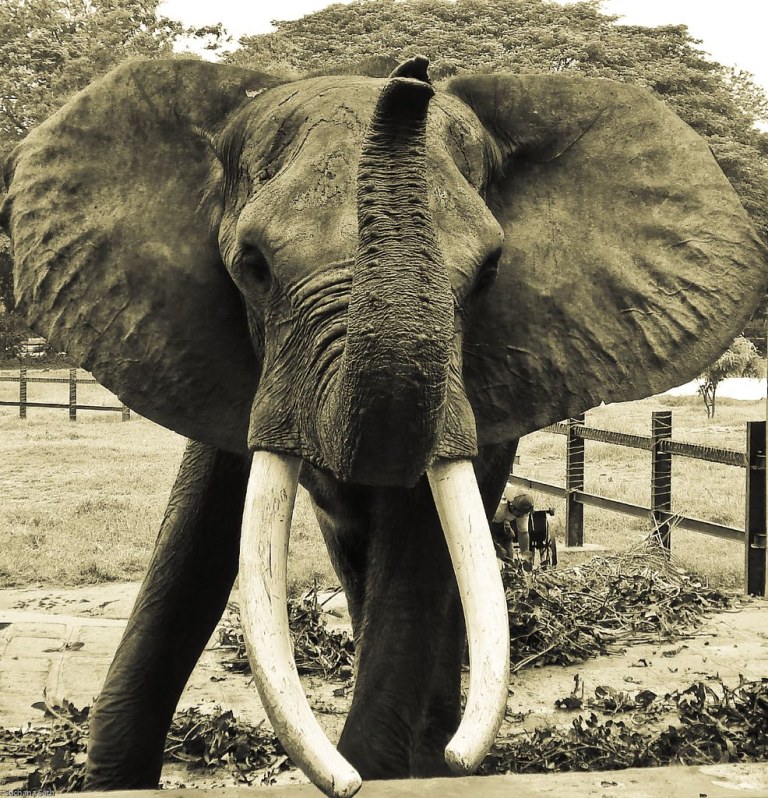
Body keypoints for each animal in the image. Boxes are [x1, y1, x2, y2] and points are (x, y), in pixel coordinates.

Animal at [1, 54, 765, 797]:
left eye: (489, 273)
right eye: (253, 267)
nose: (412, 73)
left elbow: (418, 547)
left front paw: (379, 768)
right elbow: (195, 537)